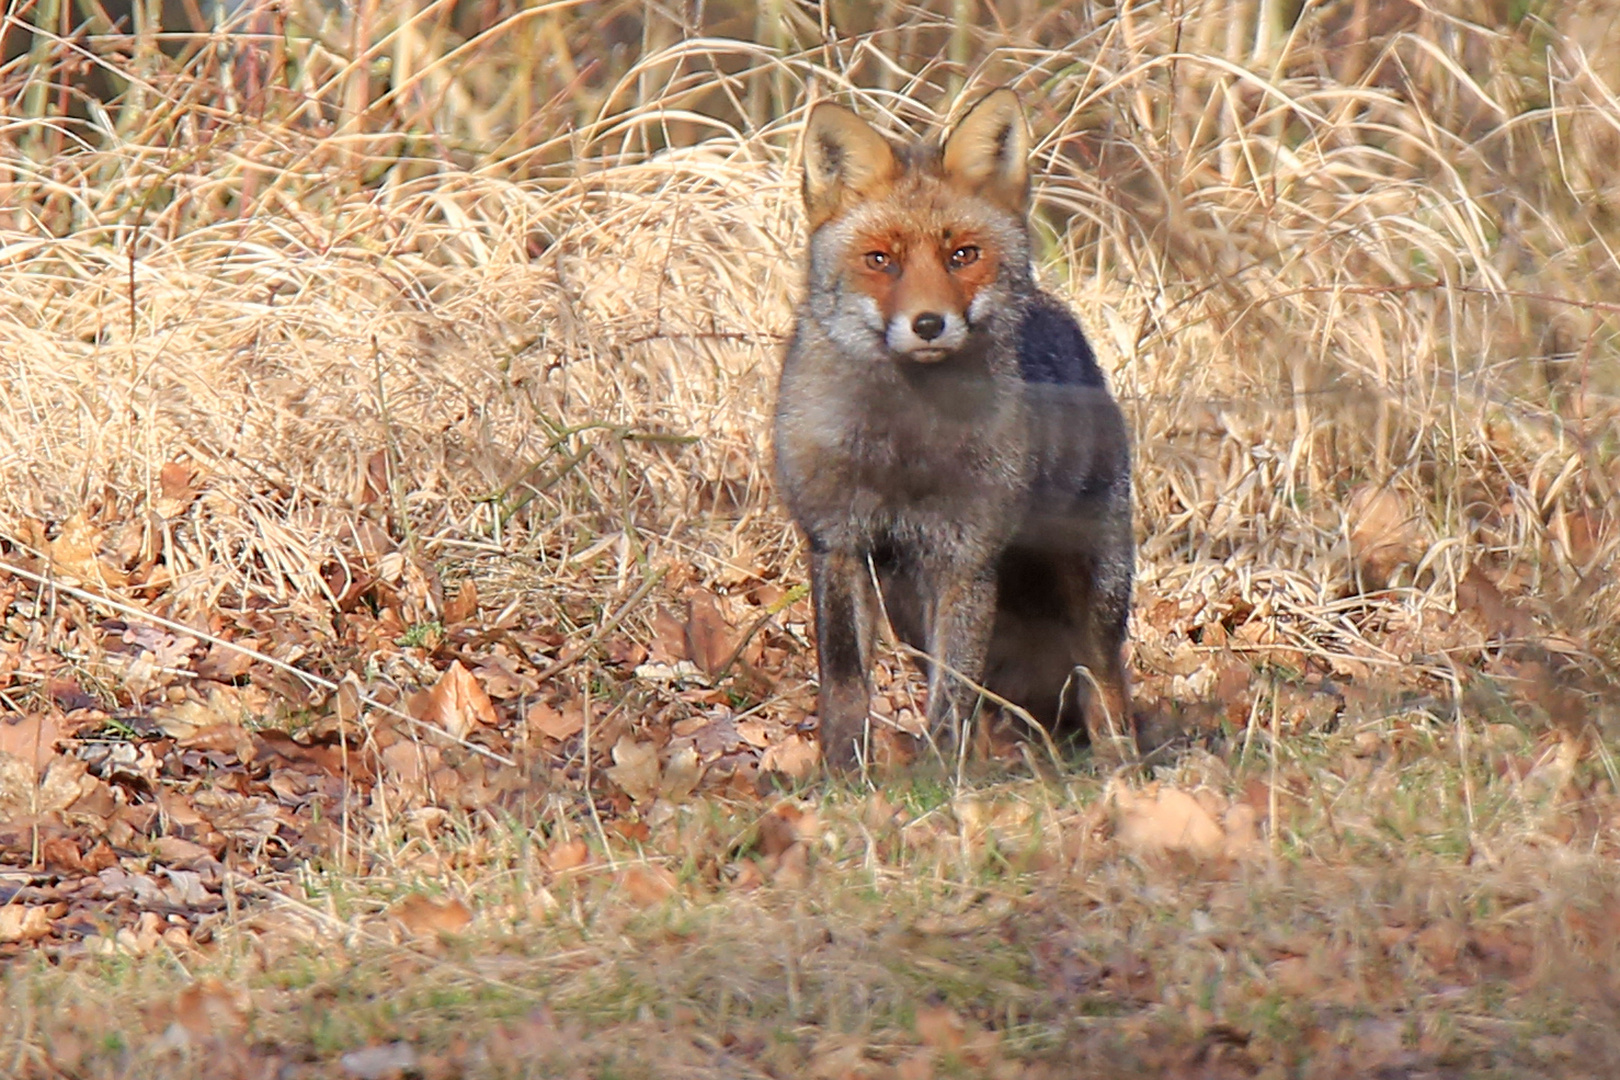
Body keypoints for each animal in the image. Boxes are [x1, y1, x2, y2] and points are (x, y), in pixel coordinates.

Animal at [774, 88, 1140, 773]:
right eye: (881, 261)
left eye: (961, 256)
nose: (927, 323)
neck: (905, 448)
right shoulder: (837, 543)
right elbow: (845, 680)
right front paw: (841, 773)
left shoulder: (966, 557)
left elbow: (953, 693)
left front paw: (940, 777)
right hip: (907, 607)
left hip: (1095, 586)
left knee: (1103, 682)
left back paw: (1118, 768)